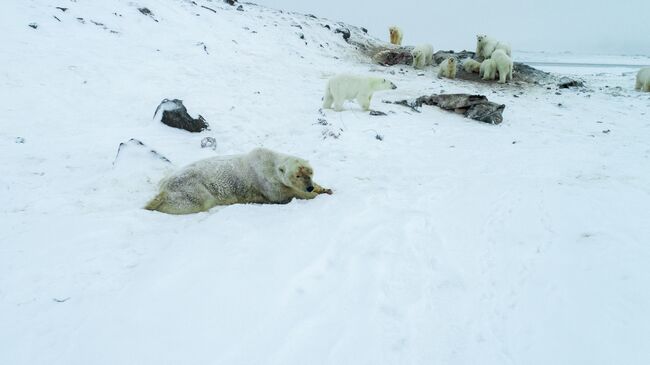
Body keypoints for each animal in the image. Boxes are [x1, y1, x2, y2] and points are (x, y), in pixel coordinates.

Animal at [144, 146, 332, 213]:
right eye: (297, 175)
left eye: (310, 173)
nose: (308, 187)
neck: (270, 162)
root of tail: (164, 187)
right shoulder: (266, 182)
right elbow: (285, 195)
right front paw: (314, 195)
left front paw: (324, 188)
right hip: (191, 188)